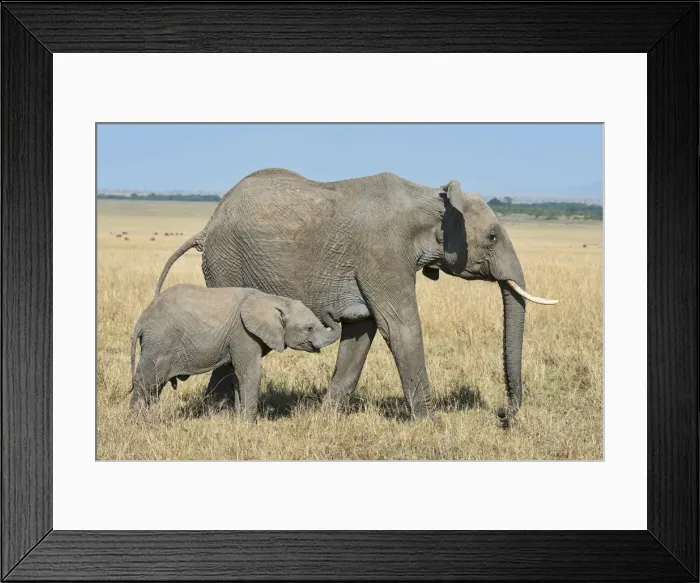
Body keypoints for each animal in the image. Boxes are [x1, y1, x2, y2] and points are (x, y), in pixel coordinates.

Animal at [129, 283, 342, 417]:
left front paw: (239, 419)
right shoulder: (244, 334)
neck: (274, 300)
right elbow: (249, 372)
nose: (332, 311)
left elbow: (237, 375)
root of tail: (142, 320)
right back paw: (138, 422)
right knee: (147, 380)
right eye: (309, 328)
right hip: (160, 342)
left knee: (155, 386)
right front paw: (248, 422)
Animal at [154, 168, 558, 422]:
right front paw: (430, 424)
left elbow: (363, 330)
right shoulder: (382, 253)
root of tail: (207, 225)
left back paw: (215, 413)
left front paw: (326, 418)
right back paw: (217, 415)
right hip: (226, 263)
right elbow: (400, 327)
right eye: (492, 236)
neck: (431, 198)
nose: (505, 415)